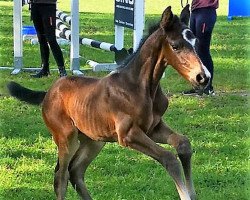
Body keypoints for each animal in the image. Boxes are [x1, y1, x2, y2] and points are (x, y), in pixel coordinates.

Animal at [7, 5, 210, 200]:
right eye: (175, 46)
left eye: (195, 42)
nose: (203, 77)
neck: (140, 87)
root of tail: (49, 93)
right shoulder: (128, 134)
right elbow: (169, 158)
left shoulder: (153, 128)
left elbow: (183, 144)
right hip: (66, 137)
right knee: (61, 177)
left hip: (94, 140)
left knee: (76, 171)